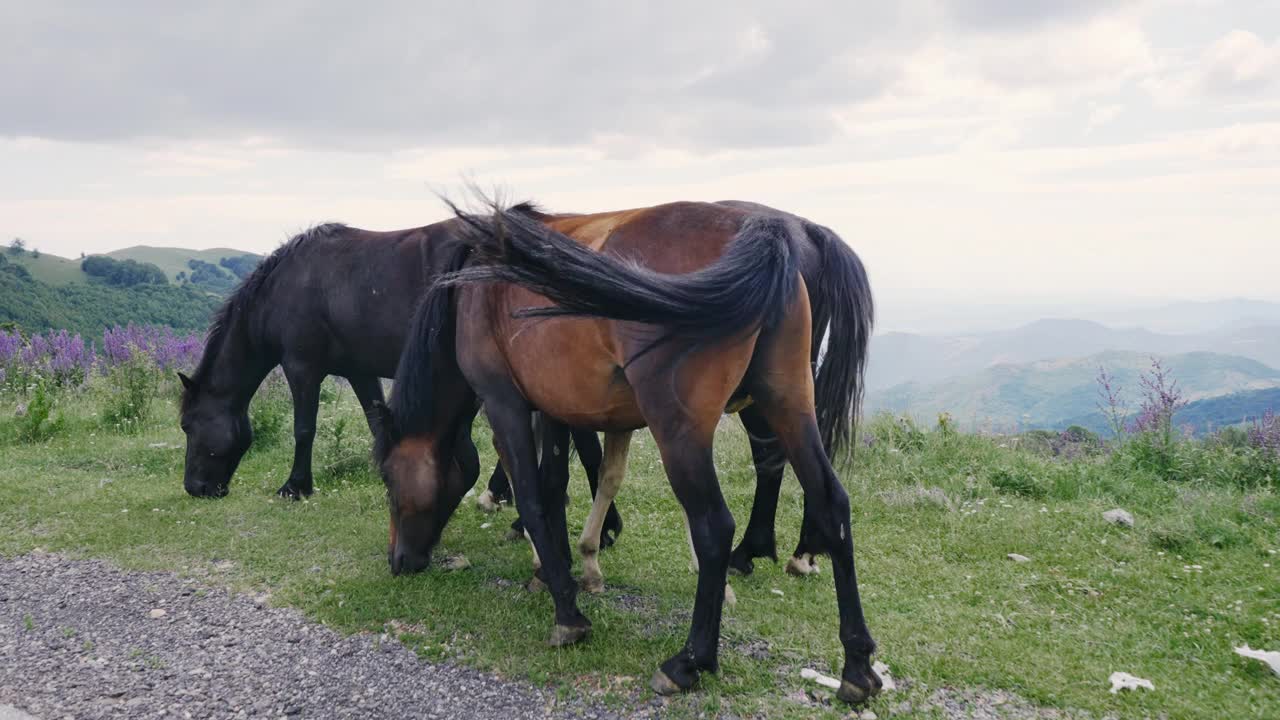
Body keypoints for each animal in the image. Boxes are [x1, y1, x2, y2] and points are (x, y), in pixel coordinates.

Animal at [176, 219, 619, 543]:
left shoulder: (301, 366)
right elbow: (376, 424)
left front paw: (295, 486)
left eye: (187, 425)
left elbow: (304, 429)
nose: (195, 487)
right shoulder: (360, 371)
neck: (286, 287)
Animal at [371, 197, 880, 702]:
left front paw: (568, 613)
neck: (476, 283)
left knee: (714, 526)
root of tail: (766, 234)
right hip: (788, 402)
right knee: (831, 502)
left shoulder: (505, 404)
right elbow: (555, 487)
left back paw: (688, 661)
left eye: (388, 479)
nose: (398, 562)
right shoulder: (555, 409)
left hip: (682, 430)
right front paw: (556, 571)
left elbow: (534, 500)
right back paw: (856, 664)